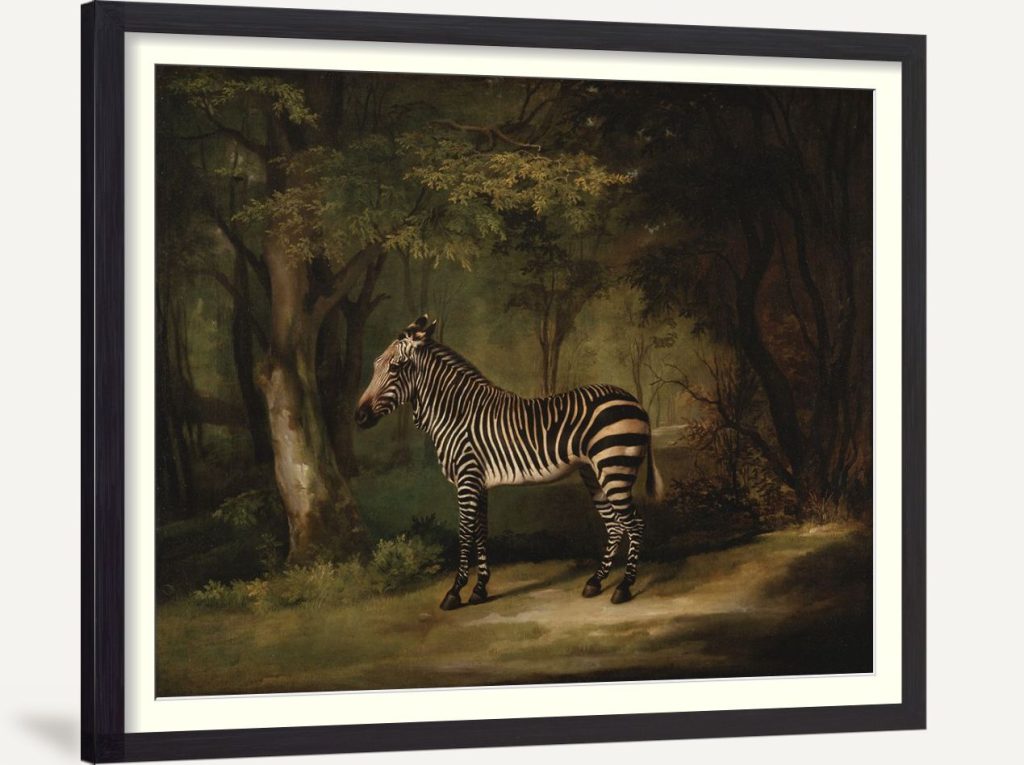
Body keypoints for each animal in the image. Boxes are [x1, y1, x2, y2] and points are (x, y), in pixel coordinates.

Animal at [355, 315, 664, 610]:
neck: (456, 413)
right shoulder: (478, 483)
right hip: (594, 473)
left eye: (395, 368)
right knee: (615, 526)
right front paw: (479, 590)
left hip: (614, 468)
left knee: (635, 524)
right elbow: (481, 533)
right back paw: (595, 582)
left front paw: (455, 592)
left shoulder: (467, 478)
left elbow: (465, 533)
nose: (358, 416)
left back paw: (624, 587)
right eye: (375, 365)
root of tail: (635, 402)